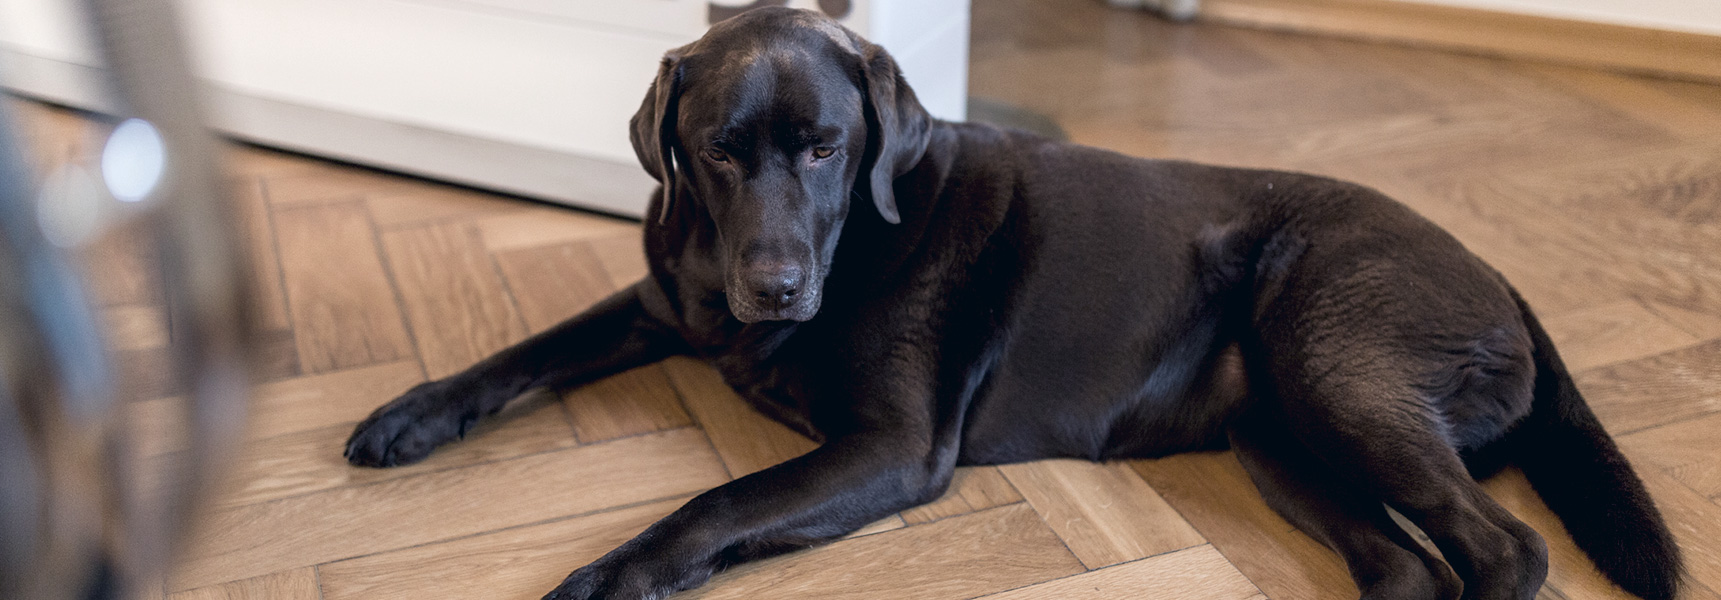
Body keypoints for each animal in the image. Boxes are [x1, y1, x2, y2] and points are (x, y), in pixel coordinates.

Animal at [345, 8, 1679, 598]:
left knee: (1501, 548)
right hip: (1282, 436)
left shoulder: (892, 447)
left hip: (1336, 368)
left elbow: (714, 502)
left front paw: (608, 577)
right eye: (718, 153)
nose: (772, 287)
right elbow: (519, 354)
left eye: (825, 148)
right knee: (1407, 568)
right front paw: (407, 415)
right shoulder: (662, 299)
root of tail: (1502, 276)